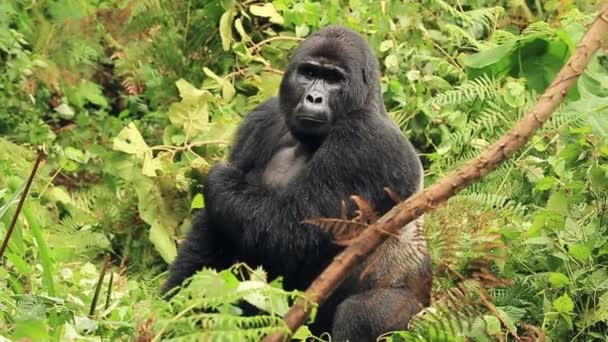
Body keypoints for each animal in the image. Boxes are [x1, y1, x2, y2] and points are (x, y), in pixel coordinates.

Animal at [162, 25, 432, 340]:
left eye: (333, 79)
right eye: (309, 72)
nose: (314, 98)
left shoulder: (366, 140)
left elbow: (295, 231)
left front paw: (218, 179)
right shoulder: (262, 119)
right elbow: (213, 233)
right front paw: (177, 308)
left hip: (417, 315)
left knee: (360, 313)